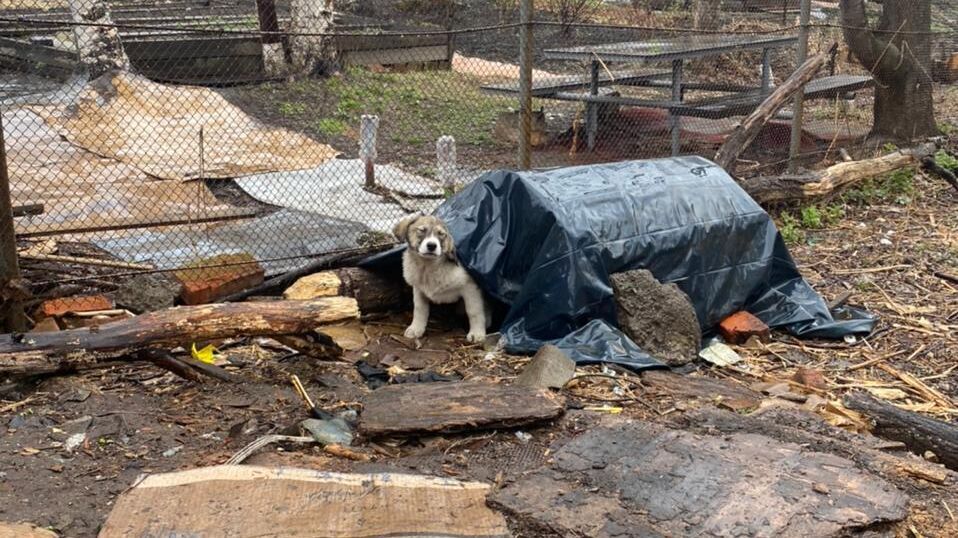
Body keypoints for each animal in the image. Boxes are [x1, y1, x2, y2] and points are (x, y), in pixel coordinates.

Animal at [394, 213, 492, 342]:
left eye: (441, 234)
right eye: (421, 230)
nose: (432, 246)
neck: (428, 267)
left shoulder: (470, 288)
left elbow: (474, 311)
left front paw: (477, 333)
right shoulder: (418, 289)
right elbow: (420, 309)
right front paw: (416, 329)